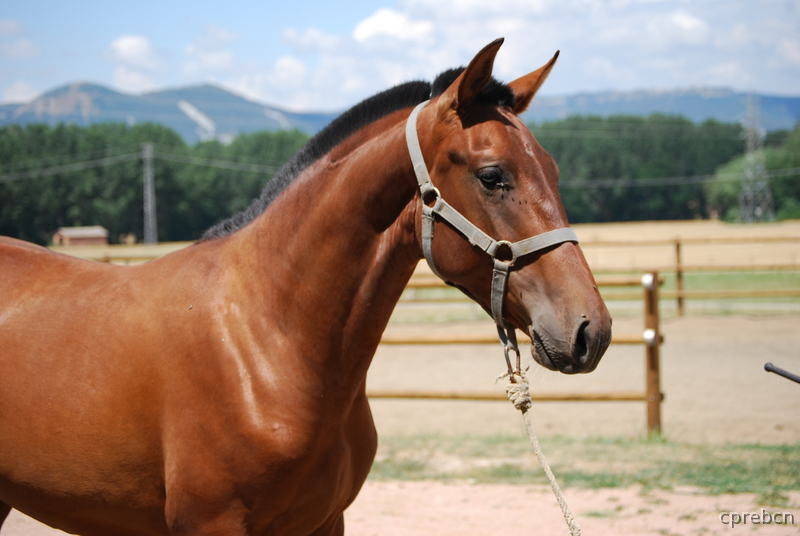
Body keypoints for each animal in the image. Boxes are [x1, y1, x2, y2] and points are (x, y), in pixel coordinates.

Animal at [0, 39, 611, 535]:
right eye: (492, 176)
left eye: (554, 171)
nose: (591, 331)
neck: (264, 338)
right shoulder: (210, 525)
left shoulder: (324, 521)